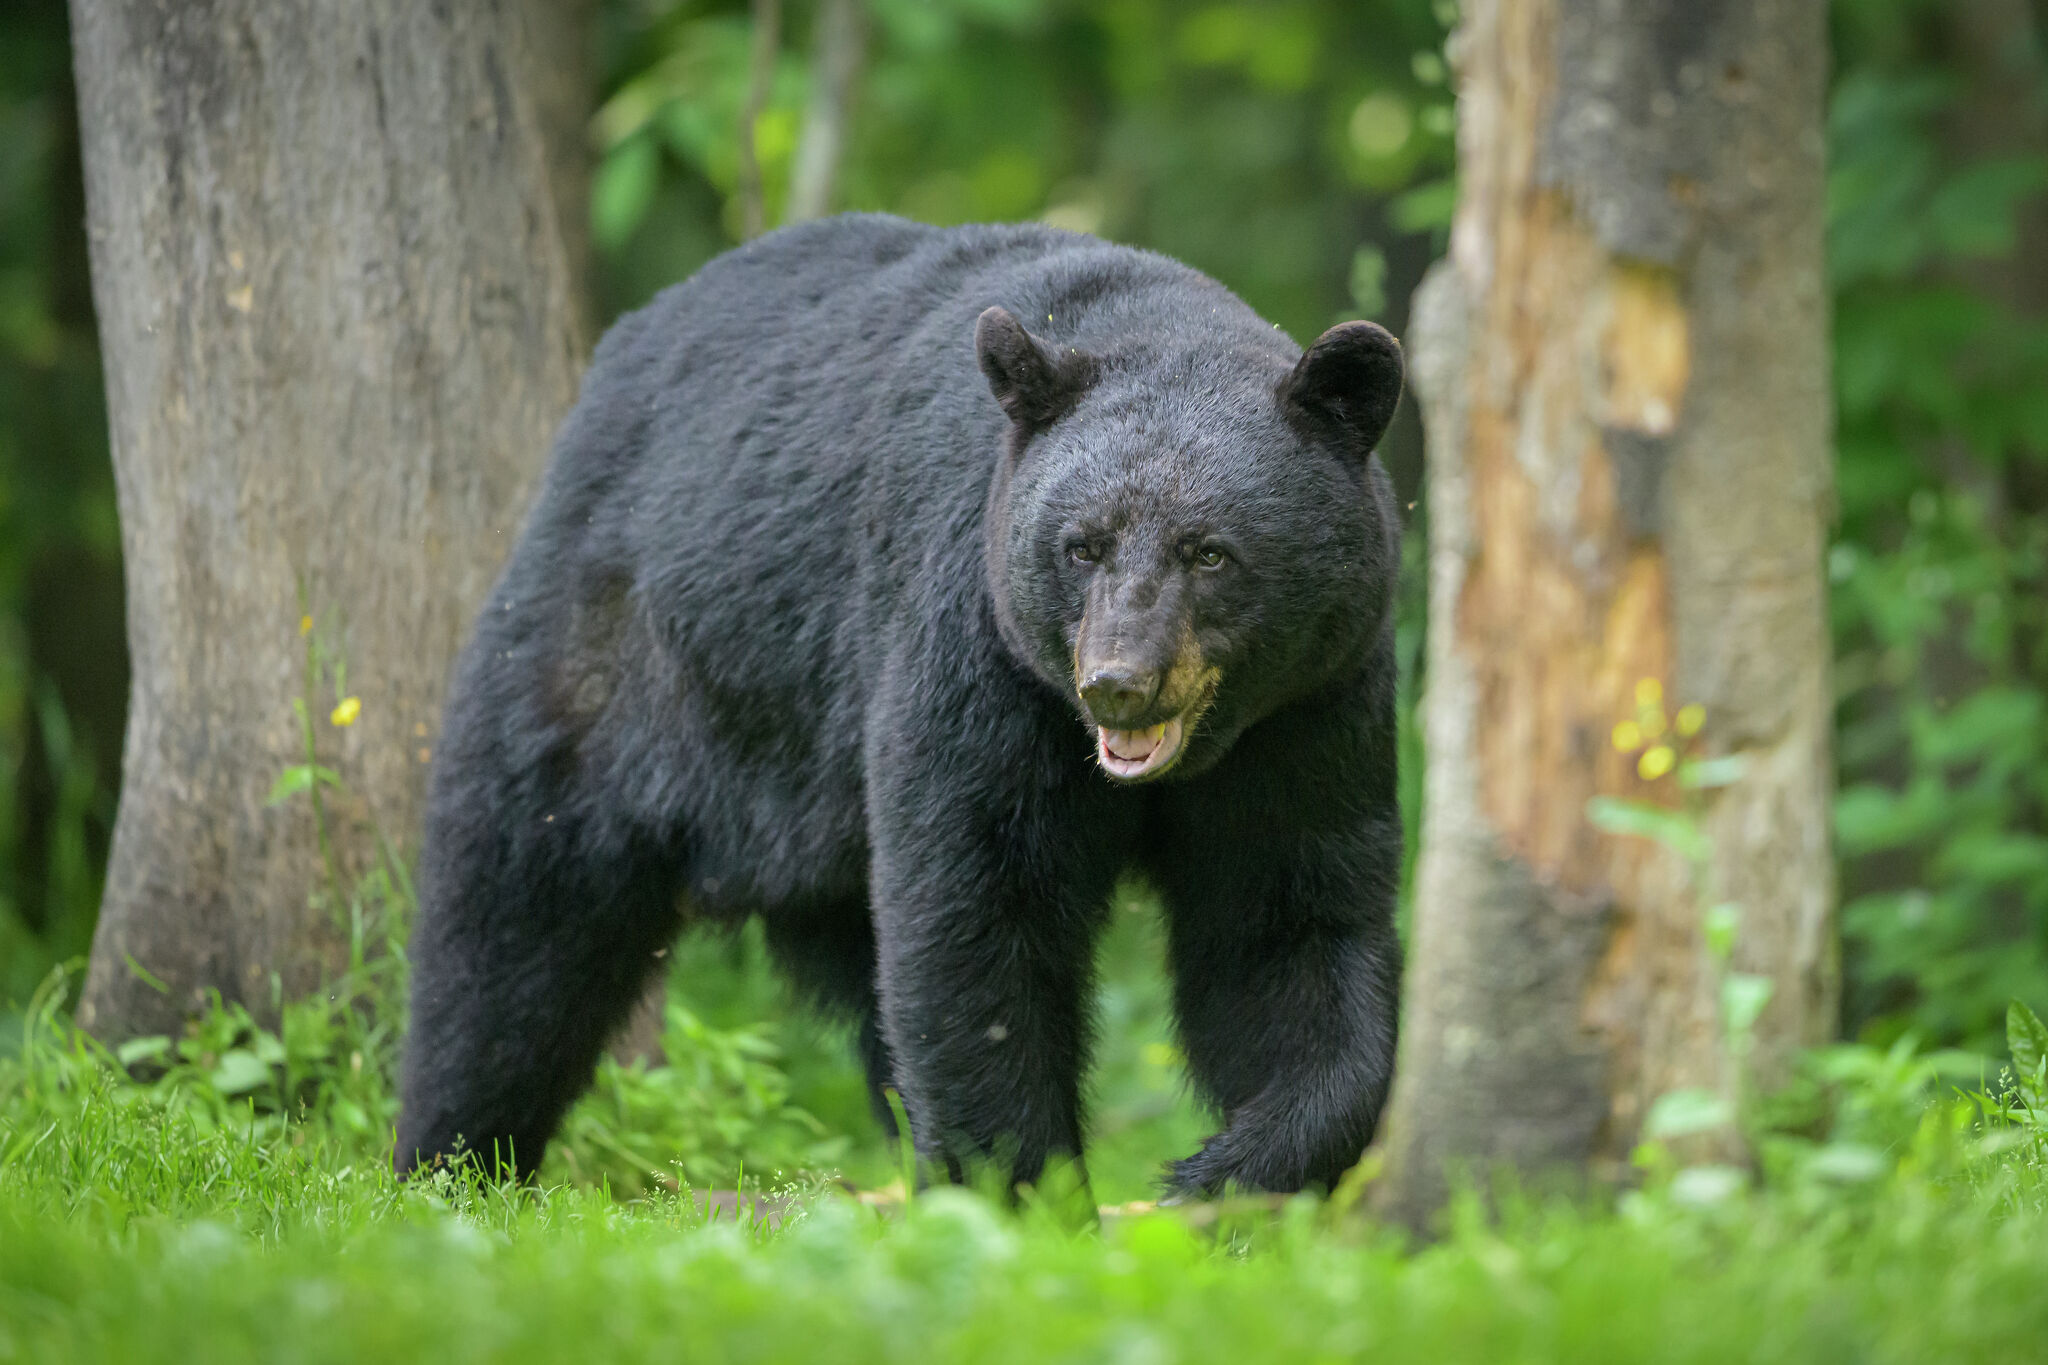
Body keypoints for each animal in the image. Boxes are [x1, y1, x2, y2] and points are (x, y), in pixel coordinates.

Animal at [391, 213, 1400, 1195]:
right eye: (1081, 545)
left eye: (1210, 552)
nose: (1118, 681)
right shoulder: (975, 647)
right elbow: (976, 908)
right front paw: (1025, 1189)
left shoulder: (1309, 709)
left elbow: (1286, 922)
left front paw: (1230, 1168)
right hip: (612, 663)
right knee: (515, 924)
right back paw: (452, 1160)